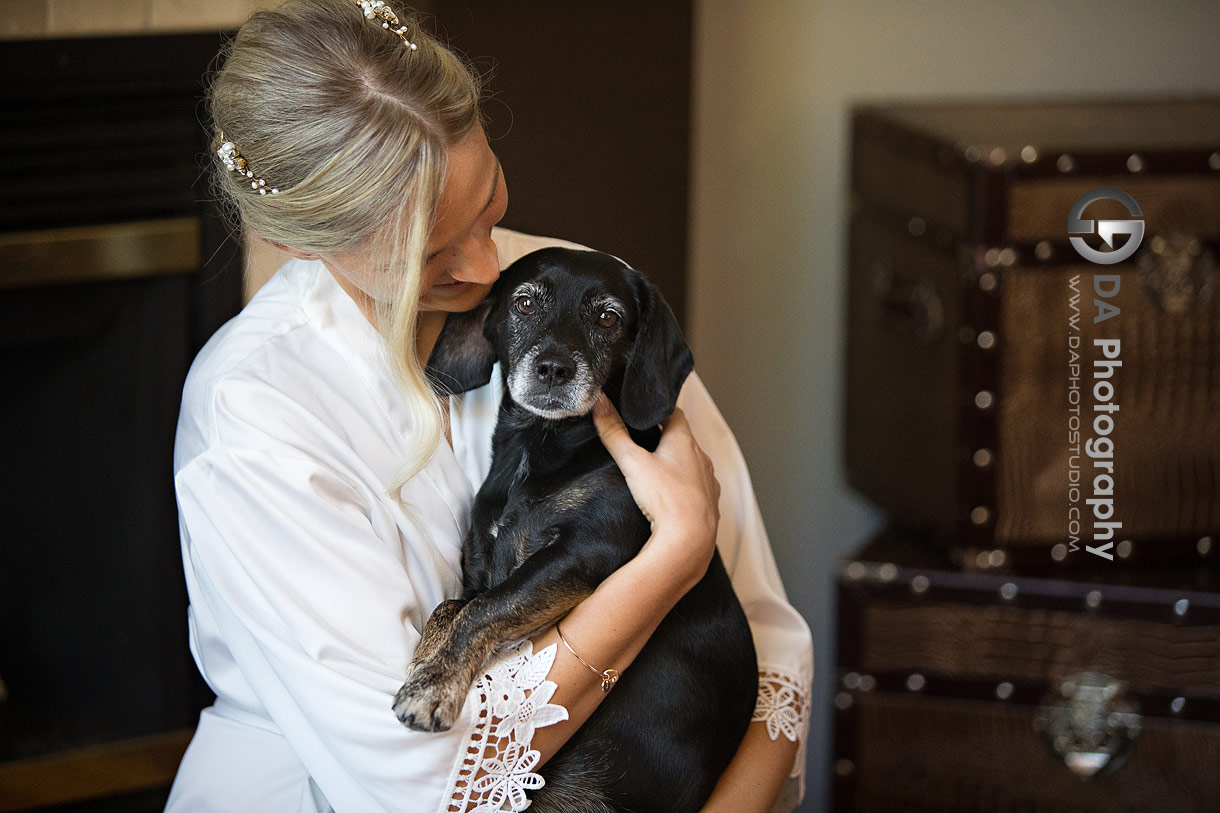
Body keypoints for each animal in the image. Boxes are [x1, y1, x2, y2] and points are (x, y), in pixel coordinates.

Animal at [392, 246, 751, 810]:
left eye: (608, 318)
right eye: (523, 303)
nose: (553, 369)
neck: (536, 448)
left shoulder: (583, 553)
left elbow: (483, 611)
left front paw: (432, 689)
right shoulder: (480, 572)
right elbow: (451, 607)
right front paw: (425, 664)